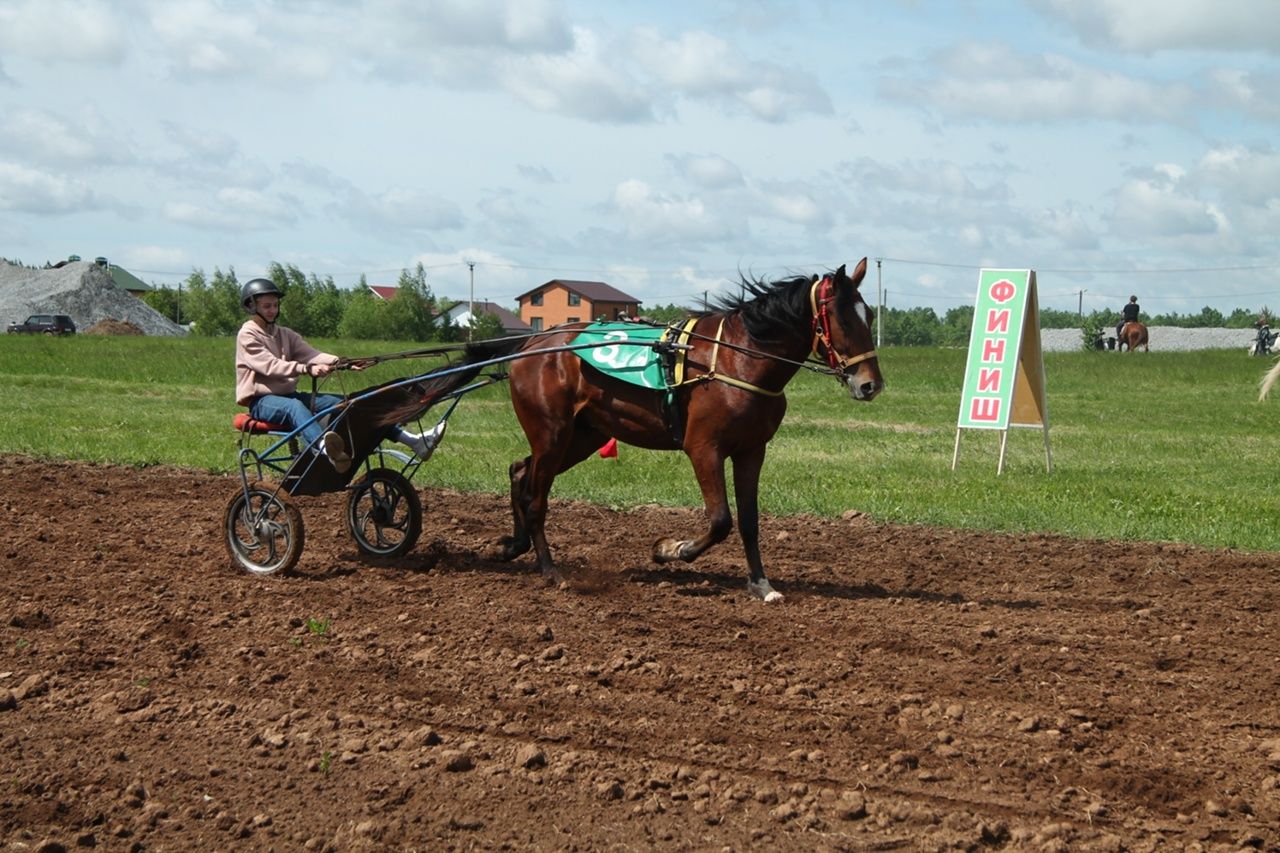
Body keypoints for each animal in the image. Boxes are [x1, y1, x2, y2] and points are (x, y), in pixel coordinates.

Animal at [389, 258, 885, 596]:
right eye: (842, 317)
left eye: (871, 316)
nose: (871, 384)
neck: (734, 359)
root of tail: (531, 343)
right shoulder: (703, 447)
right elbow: (721, 520)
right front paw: (672, 550)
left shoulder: (751, 450)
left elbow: (748, 521)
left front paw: (761, 584)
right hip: (552, 432)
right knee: (535, 496)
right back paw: (549, 569)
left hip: (582, 435)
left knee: (519, 472)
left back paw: (514, 546)